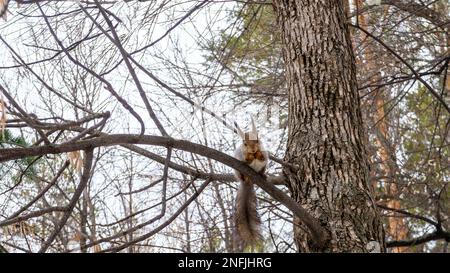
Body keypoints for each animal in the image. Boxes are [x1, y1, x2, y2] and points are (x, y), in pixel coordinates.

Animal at [232, 116, 268, 248]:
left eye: (257, 140)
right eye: (244, 143)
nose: (252, 149)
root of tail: (248, 182)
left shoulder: (266, 154)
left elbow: (262, 157)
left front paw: (258, 154)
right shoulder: (241, 156)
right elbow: (247, 160)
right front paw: (251, 156)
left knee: (262, 171)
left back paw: (263, 175)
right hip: (238, 172)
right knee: (242, 176)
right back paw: (245, 176)